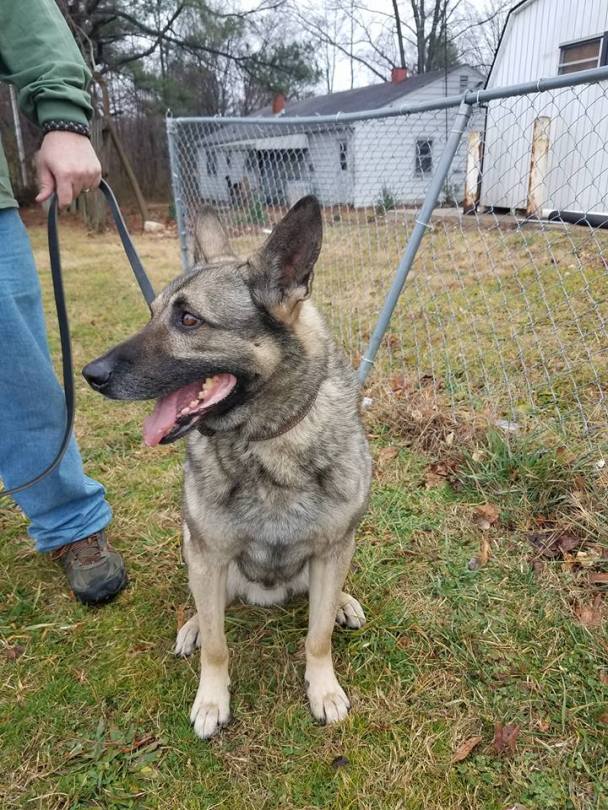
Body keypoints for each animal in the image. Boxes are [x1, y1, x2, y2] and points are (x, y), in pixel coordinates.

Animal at [83, 196, 372, 739]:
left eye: (189, 320)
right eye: (152, 315)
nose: (90, 374)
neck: (264, 443)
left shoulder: (331, 549)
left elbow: (317, 636)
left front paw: (323, 689)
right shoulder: (210, 555)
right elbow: (218, 646)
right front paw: (212, 701)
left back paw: (343, 601)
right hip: (192, 546)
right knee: (206, 604)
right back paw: (194, 624)